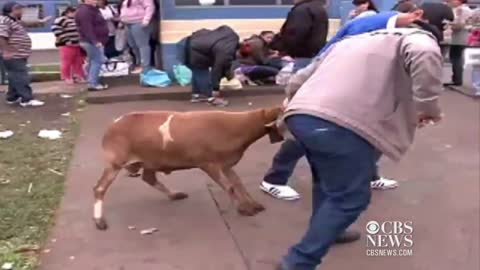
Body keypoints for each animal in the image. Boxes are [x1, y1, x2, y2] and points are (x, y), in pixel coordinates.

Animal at [92, 106, 284, 229]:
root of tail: (113, 125)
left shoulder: (225, 163)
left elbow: (237, 183)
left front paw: (253, 205)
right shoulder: (208, 163)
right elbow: (229, 186)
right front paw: (243, 209)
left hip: (150, 160)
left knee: (149, 178)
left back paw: (174, 195)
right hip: (115, 162)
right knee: (99, 188)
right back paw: (99, 221)